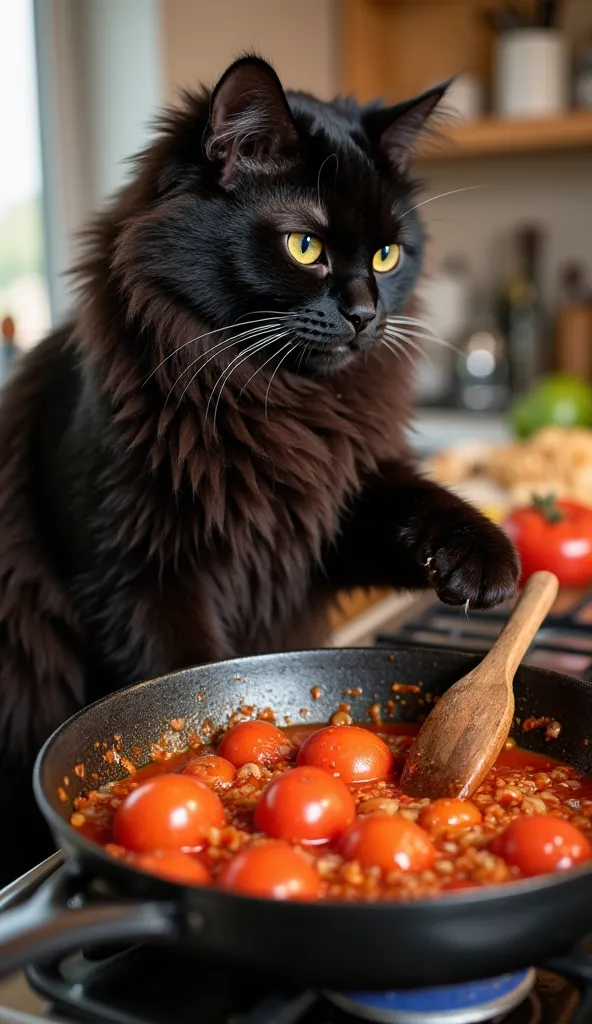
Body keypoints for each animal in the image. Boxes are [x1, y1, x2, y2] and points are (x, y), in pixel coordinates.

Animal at [0, 58, 516, 888]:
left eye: (388, 255)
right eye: (304, 246)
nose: (366, 313)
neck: (269, 405)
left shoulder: (323, 512)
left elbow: (414, 498)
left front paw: (484, 562)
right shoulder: (134, 579)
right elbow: (185, 670)